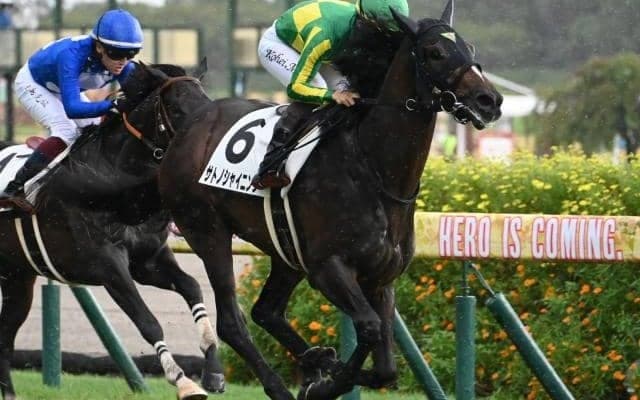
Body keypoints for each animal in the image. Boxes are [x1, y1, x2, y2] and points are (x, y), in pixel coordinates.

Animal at [0, 65, 225, 400]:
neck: (114, 183)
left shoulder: (148, 261)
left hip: (17, 278)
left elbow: (192, 287)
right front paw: (184, 382)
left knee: (6, 333)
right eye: (176, 108)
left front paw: (213, 372)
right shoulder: (107, 266)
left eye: (207, 101)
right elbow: (148, 322)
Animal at [118, 1, 502, 399]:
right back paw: (280, 384)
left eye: (469, 48)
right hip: (208, 232)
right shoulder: (327, 267)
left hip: (285, 250)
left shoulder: (381, 279)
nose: (489, 100)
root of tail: (193, 121)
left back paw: (314, 360)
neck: (373, 169)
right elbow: (368, 328)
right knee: (232, 322)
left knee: (266, 311)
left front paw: (324, 368)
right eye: (435, 52)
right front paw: (324, 383)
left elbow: (386, 368)